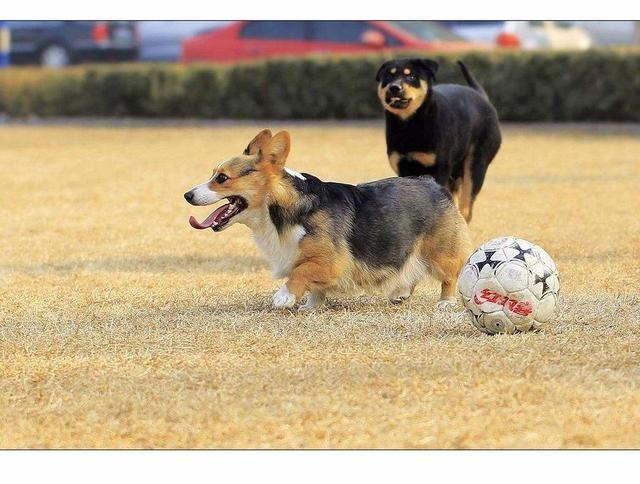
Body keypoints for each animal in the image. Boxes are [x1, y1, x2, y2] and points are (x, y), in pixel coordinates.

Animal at [185, 129, 470, 310]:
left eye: (222, 178)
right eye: (213, 174)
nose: (187, 195)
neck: (282, 207)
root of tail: (432, 182)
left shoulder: (331, 261)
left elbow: (300, 273)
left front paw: (284, 297)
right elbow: (315, 286)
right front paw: (311, 306)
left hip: (439, 252)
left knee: (450, 275)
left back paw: (445, 302)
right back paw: (400, 294)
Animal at [378, 57, 502, 222]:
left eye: (412, 76)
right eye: (388, 76)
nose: (394, 87)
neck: (409, 126)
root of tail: (481, 96)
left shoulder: (440, 168)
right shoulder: (403, 167)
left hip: (476, 163)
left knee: (466, 206)